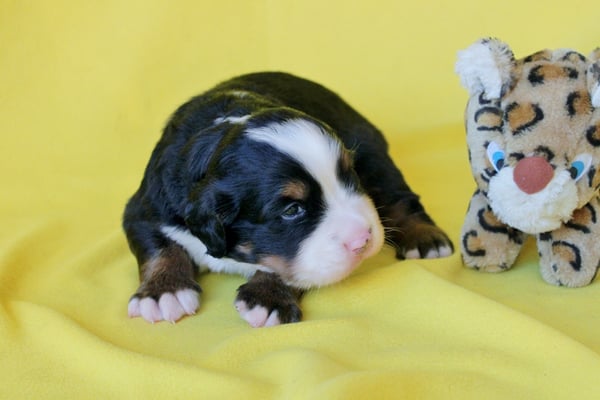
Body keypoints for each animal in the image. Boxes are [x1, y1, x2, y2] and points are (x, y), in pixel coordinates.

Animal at [123, 72, 453, 327]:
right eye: (293, 210)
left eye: (350, 178)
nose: (362, 241)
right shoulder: (145, 208)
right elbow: (159, 248)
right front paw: (164, 291)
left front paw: (268, 298)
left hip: (373, 152)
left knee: (401, 197)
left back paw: (426, 238)